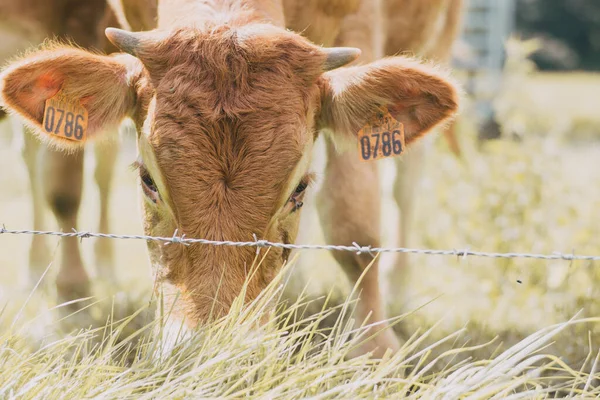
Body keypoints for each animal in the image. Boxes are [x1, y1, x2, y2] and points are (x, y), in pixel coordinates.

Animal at [0, 0, 122, 300]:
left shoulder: (79, 23)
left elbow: (64, 188)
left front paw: (72, 284)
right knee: (31, 157)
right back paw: (36, 267)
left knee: (104, 167)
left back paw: (105, 265)